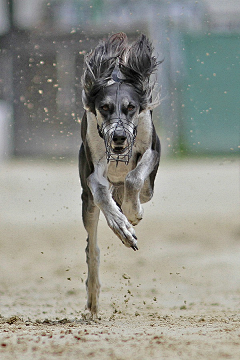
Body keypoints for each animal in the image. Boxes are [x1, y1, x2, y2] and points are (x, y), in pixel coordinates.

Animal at [79, 33, 161, 316]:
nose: (119, 137)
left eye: (131, 107)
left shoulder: (151, 152)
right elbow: (101, 191)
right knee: (92, 249)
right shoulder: (93, 174)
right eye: (104, 107)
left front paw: (132, 212)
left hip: (148, 188)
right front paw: (123, 227)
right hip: (86, 203)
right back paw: (93, 297)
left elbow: (134, 178)